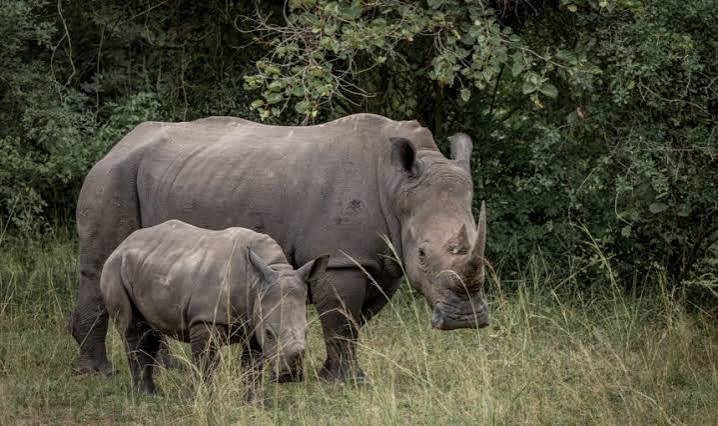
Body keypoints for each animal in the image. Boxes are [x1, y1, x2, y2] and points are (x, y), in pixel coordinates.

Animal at [100, 219, 329, 394]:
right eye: (269, 333)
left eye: (307, 333)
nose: (291, 376)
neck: (259, 278)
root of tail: (123, 243)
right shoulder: (206, 319)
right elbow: (205, 365)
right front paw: (201, 398)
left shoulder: (254, 318)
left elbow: (252, 367)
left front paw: (253, 404)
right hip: (114, 268)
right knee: (132, 330)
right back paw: (145, 395)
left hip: (148, 266)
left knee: (151, 330)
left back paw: (153, 394)